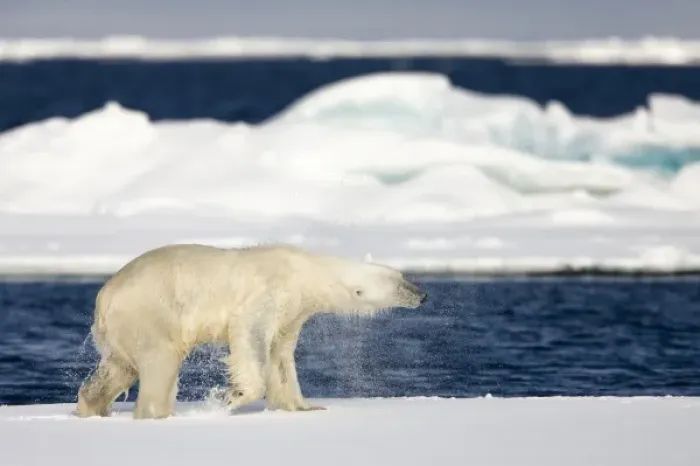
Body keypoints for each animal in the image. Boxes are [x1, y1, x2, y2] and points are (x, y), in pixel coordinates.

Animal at [75, 243, 428, 420]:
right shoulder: (270, 290)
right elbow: (249, 334)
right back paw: (158, 414)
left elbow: (280, 355)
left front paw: (303, 406)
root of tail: (104, 297)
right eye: (401, 283)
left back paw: (90, 407)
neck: (306, 270)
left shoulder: (293, 312)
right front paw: (232, 397)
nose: (423, 295)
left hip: (122, 330)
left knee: (119, 369)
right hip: (150, 313)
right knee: (160, 363)